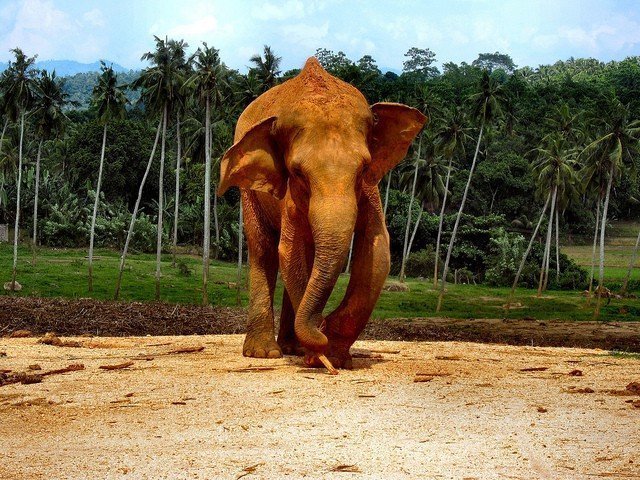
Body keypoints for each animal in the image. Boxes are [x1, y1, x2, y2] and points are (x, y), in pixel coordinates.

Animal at [219, 57, 424, 372]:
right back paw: (264, 353)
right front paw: (319, 351)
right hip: (247, 190)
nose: (321, 328)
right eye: (297, 172)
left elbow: (377, 249)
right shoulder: (290, 196)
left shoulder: (370, 191)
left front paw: (332, 354)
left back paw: (291, 347)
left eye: (363, 168)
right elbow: (289, 251)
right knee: (263, 248)